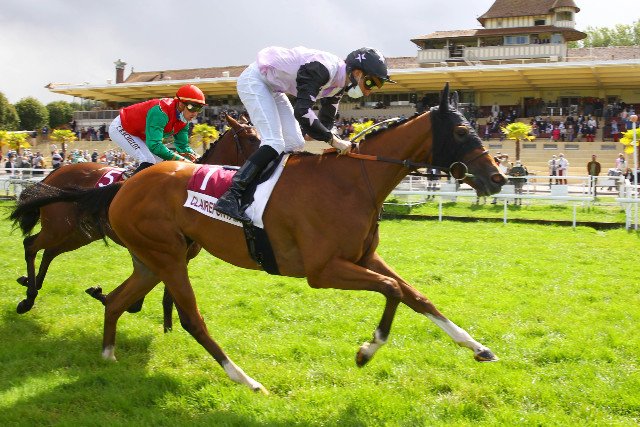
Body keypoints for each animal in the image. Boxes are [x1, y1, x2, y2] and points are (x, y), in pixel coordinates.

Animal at [10, 113, 260, 330]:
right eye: (251, 138)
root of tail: (55, 173)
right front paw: (105, 296)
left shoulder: (178, 256)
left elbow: (162, 295)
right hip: (59, 227)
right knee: (31, 245)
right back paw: (28, 298)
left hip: (80, 233)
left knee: (50, 251)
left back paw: (31, 283)